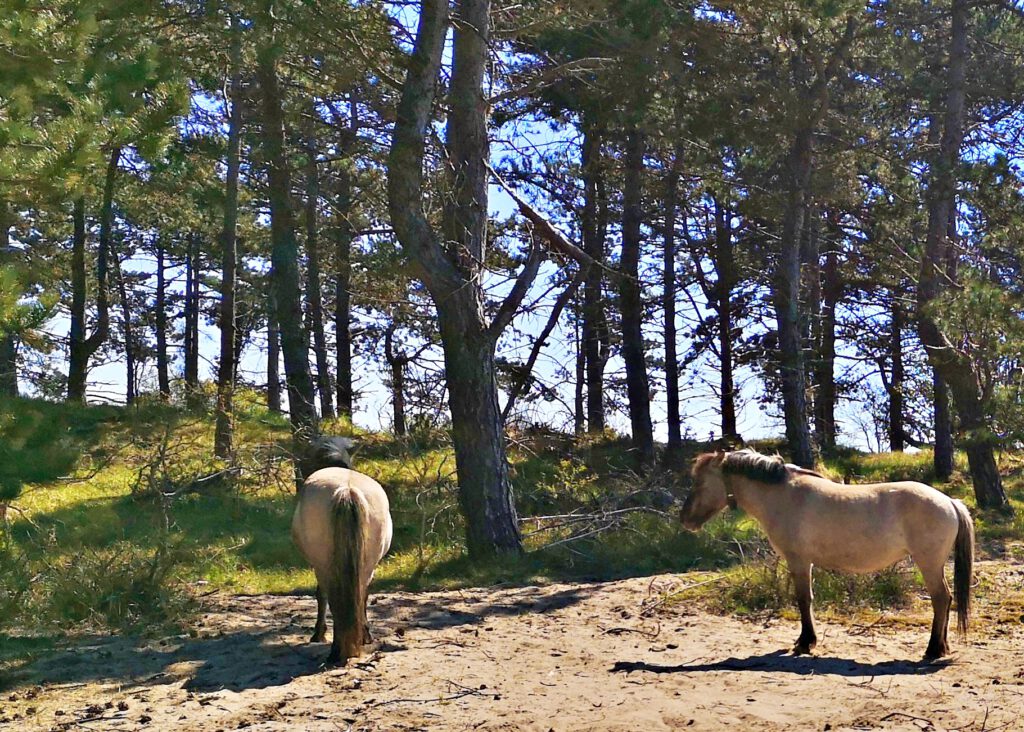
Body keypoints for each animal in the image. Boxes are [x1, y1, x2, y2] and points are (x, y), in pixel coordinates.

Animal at [296, 438, 395, 667]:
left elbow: (320, 595)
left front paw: (318, 634)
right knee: (360, 595)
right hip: (366, 565)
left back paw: (336, 652)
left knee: (333, 599)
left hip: (325, 566)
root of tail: (347, 490)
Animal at [679, 450, 974, 663]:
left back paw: (933, 649)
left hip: (929, 563)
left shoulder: (798, 560)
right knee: (946, 600)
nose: (685, 520)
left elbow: (803, 599)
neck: (784, 496)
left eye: (700, 481)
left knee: (941, 599)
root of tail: (950, 502)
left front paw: (805, 642)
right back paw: (942, 647)